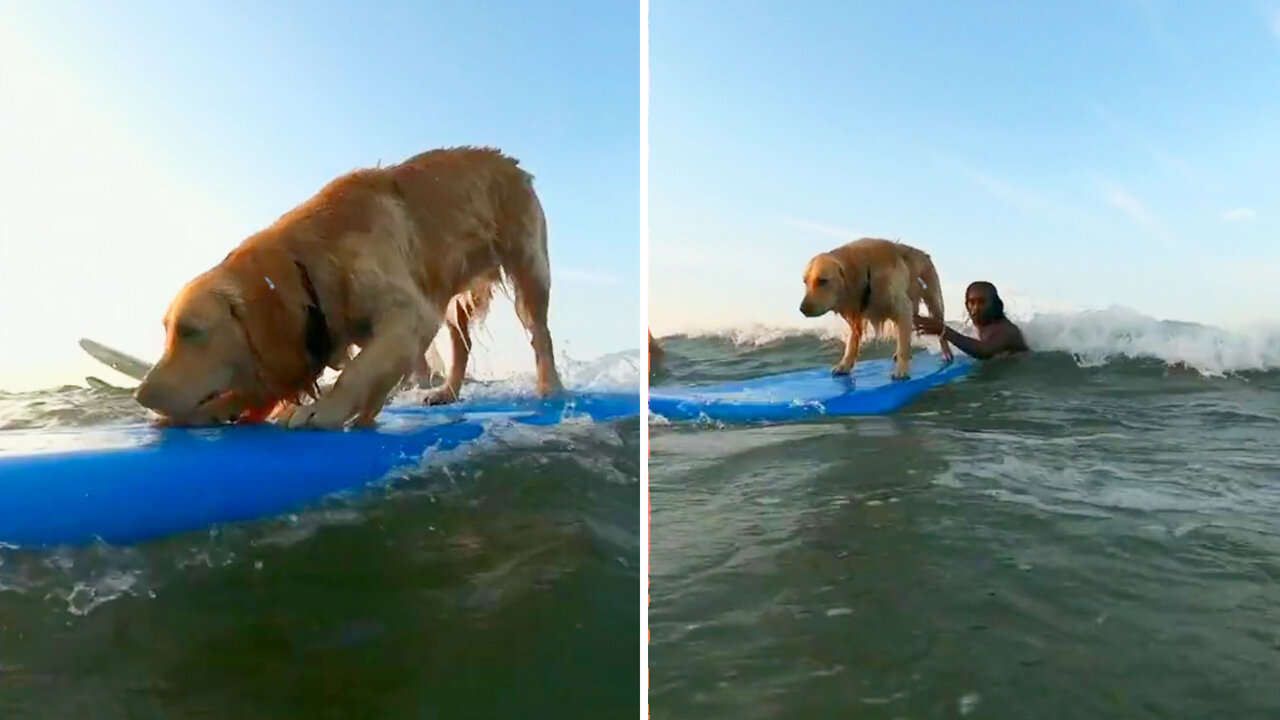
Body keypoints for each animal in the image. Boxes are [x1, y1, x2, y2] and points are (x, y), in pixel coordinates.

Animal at [131, 144, 565, 425]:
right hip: (453, 300)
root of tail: (511, 163)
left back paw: (550, 388)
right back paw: (447, 393)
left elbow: (358, 369)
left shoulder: (409, 315)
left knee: (540, 335)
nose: (140, 395)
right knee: (462, 346)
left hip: (529, 271)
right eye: (167, 331)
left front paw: (324, 410)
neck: (309, 262)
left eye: (191, 332)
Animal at [798, 237, 952, 381]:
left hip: (933, 301)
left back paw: (946, 353)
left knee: (940, 330)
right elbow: (852, 342)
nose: (802, 309)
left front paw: (901, 370)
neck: (866, 273)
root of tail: (924, 253)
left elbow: (903, 344)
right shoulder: (856, 314)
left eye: (823, 281)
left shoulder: (903, 308)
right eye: (805, 282)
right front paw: (844, 365)